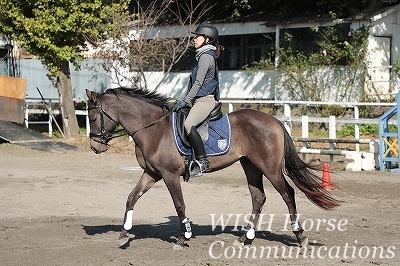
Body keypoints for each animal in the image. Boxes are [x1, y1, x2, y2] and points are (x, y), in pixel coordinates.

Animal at [86, 87, 340, 249]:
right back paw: (245, 238)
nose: (95, 147)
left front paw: (184, 237)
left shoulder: (169, 175)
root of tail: (274, 120)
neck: (153, 129)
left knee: (288, 194)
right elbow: (131, 197)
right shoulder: (152, 174)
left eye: (94, 117)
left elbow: (179, 204)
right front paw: (124, 233)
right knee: (258, 197)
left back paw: (300, 237)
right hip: (251, 166)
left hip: (269, 168)